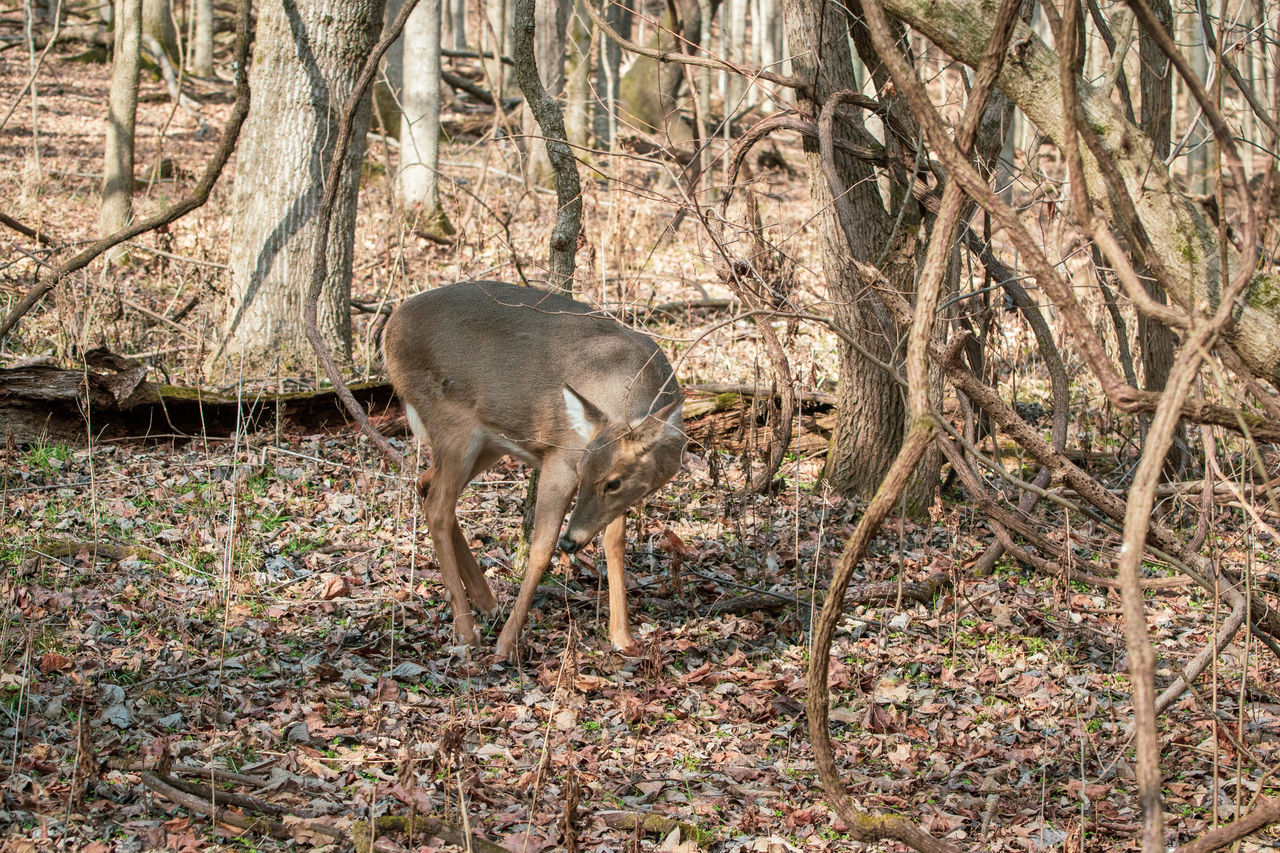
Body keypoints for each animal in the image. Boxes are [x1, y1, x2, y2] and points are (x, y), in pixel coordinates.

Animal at [378, 279, 686, 655]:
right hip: (451, 424)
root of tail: (389, 330)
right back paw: (467, 629)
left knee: (425, 485)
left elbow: (614, 544)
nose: (572, 542)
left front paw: (622, 637)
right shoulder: (561, 457)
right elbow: (541, 548)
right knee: (438, 506)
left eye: (613, 482)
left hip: (488, 442)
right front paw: (507, 643)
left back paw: (486, 601)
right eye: (582, 471)